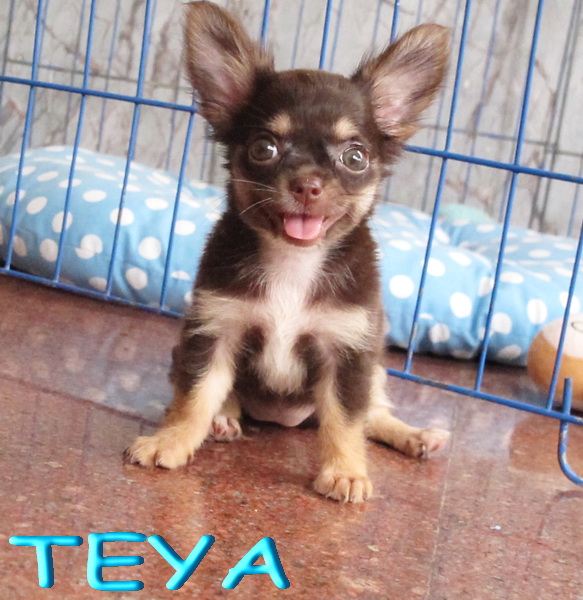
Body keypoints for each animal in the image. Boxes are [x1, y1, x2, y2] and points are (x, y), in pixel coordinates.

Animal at [125, 1, 451, 503]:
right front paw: (172, 440)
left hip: (376, 367)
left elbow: (346, 420)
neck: (293, 262)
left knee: (373, 414)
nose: (307, 184)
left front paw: (345, 472)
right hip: (185, 347)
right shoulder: (214, 330)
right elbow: (194, 398)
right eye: (265, 148)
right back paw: (224, 418)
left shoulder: (348, 353)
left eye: (355, 158)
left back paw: (415, 436)